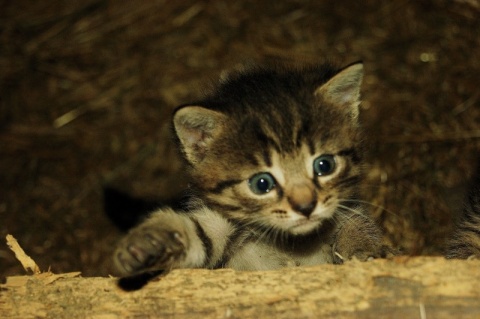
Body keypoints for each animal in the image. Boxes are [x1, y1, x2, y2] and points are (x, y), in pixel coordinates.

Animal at [112, 61, 390, 276]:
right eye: (262, 183)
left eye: (324, 165)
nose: (305, 207)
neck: (291, 242)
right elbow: (200, 237)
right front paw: (151, 242)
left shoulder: (348, 207)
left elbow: (357, 223)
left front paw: (364, 250)